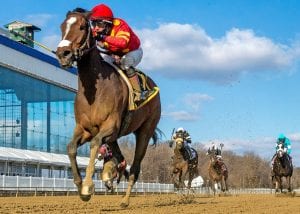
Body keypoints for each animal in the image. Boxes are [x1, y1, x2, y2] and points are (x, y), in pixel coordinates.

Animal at [55, 8, 161, 207]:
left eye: (82, 26)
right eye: (62, 27)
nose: (63, 53)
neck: (94, 91)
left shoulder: (110, 125)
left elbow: (95, 144)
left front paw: (88, 187)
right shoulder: (84, 128)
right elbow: (71, 147)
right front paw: (80, 186)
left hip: (145, 130)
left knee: (135, 167)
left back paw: (125, 200)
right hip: (116, 136)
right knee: (120, 157)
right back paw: (112, 171)